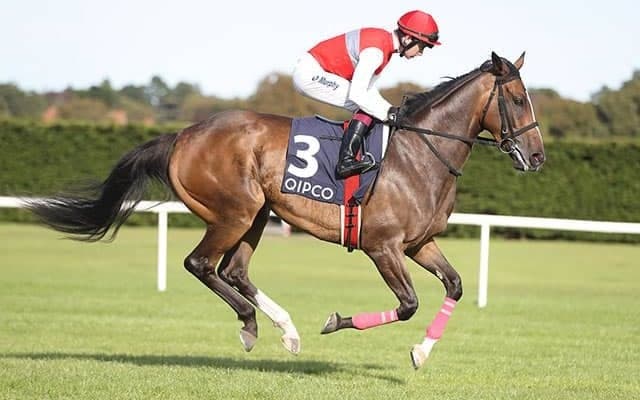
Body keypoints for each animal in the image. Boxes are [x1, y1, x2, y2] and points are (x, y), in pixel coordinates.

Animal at [27, 52, 544, 369]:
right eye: (518, 99)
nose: (538, 157)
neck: (419, 153)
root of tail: (184, 135)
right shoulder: (383, 247)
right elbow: (408, 304)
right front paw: (335, 322)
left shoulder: (420, 243)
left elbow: (454, 286)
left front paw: (421, 352)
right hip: (234, 212)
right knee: (201, 264)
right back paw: (252, 325)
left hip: (257, 213)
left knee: (233, 271)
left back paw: (285, 330)